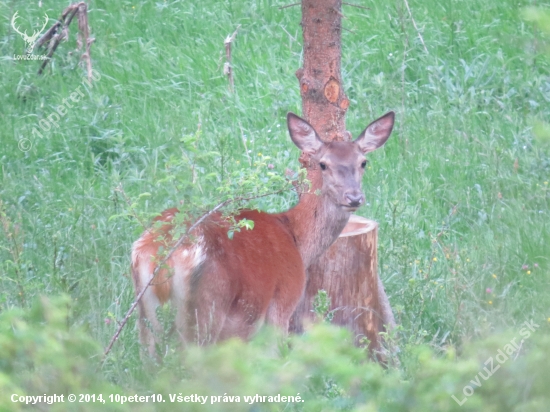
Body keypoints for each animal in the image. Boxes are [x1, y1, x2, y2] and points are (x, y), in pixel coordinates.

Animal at [132, 112, 394, 358]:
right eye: (323, 164)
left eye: (363, 162)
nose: (354, 197)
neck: (295, 238)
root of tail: (159, 254)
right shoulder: (283, 299)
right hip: (208, 306)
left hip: (145, 310)